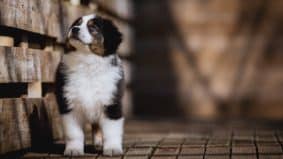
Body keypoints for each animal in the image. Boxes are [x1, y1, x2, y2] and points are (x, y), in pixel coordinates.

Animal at [56, 14, 125, 157]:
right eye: (77, 24)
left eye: (93, 27)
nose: (74, 29)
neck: (87, 62)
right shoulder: (69, 105)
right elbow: (74, 133)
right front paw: (73, 150)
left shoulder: (111, 103)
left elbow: (111, 131)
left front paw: (112, 149)